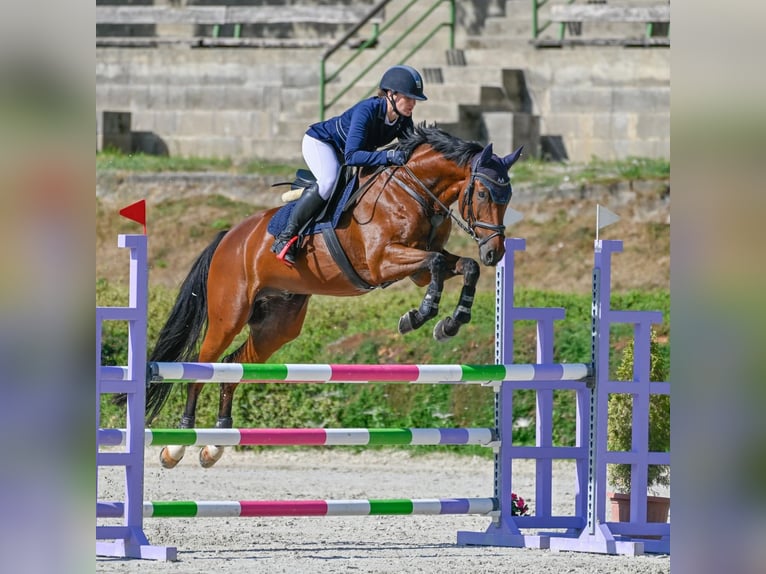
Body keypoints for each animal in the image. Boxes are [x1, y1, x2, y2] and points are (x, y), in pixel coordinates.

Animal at [147, 125, 524, 468]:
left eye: (507, 199)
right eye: (484, 195)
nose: (494, 253)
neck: (413, 191)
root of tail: (228, 238)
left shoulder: (418, 269)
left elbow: (463, 267)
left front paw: (451, 322)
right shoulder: (383, 261)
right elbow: (434, 264)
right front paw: (419, 316)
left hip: (277, 326)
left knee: (231, 365)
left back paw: (215, 444)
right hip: (229, 315)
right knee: (201, 367)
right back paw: (178, 444)